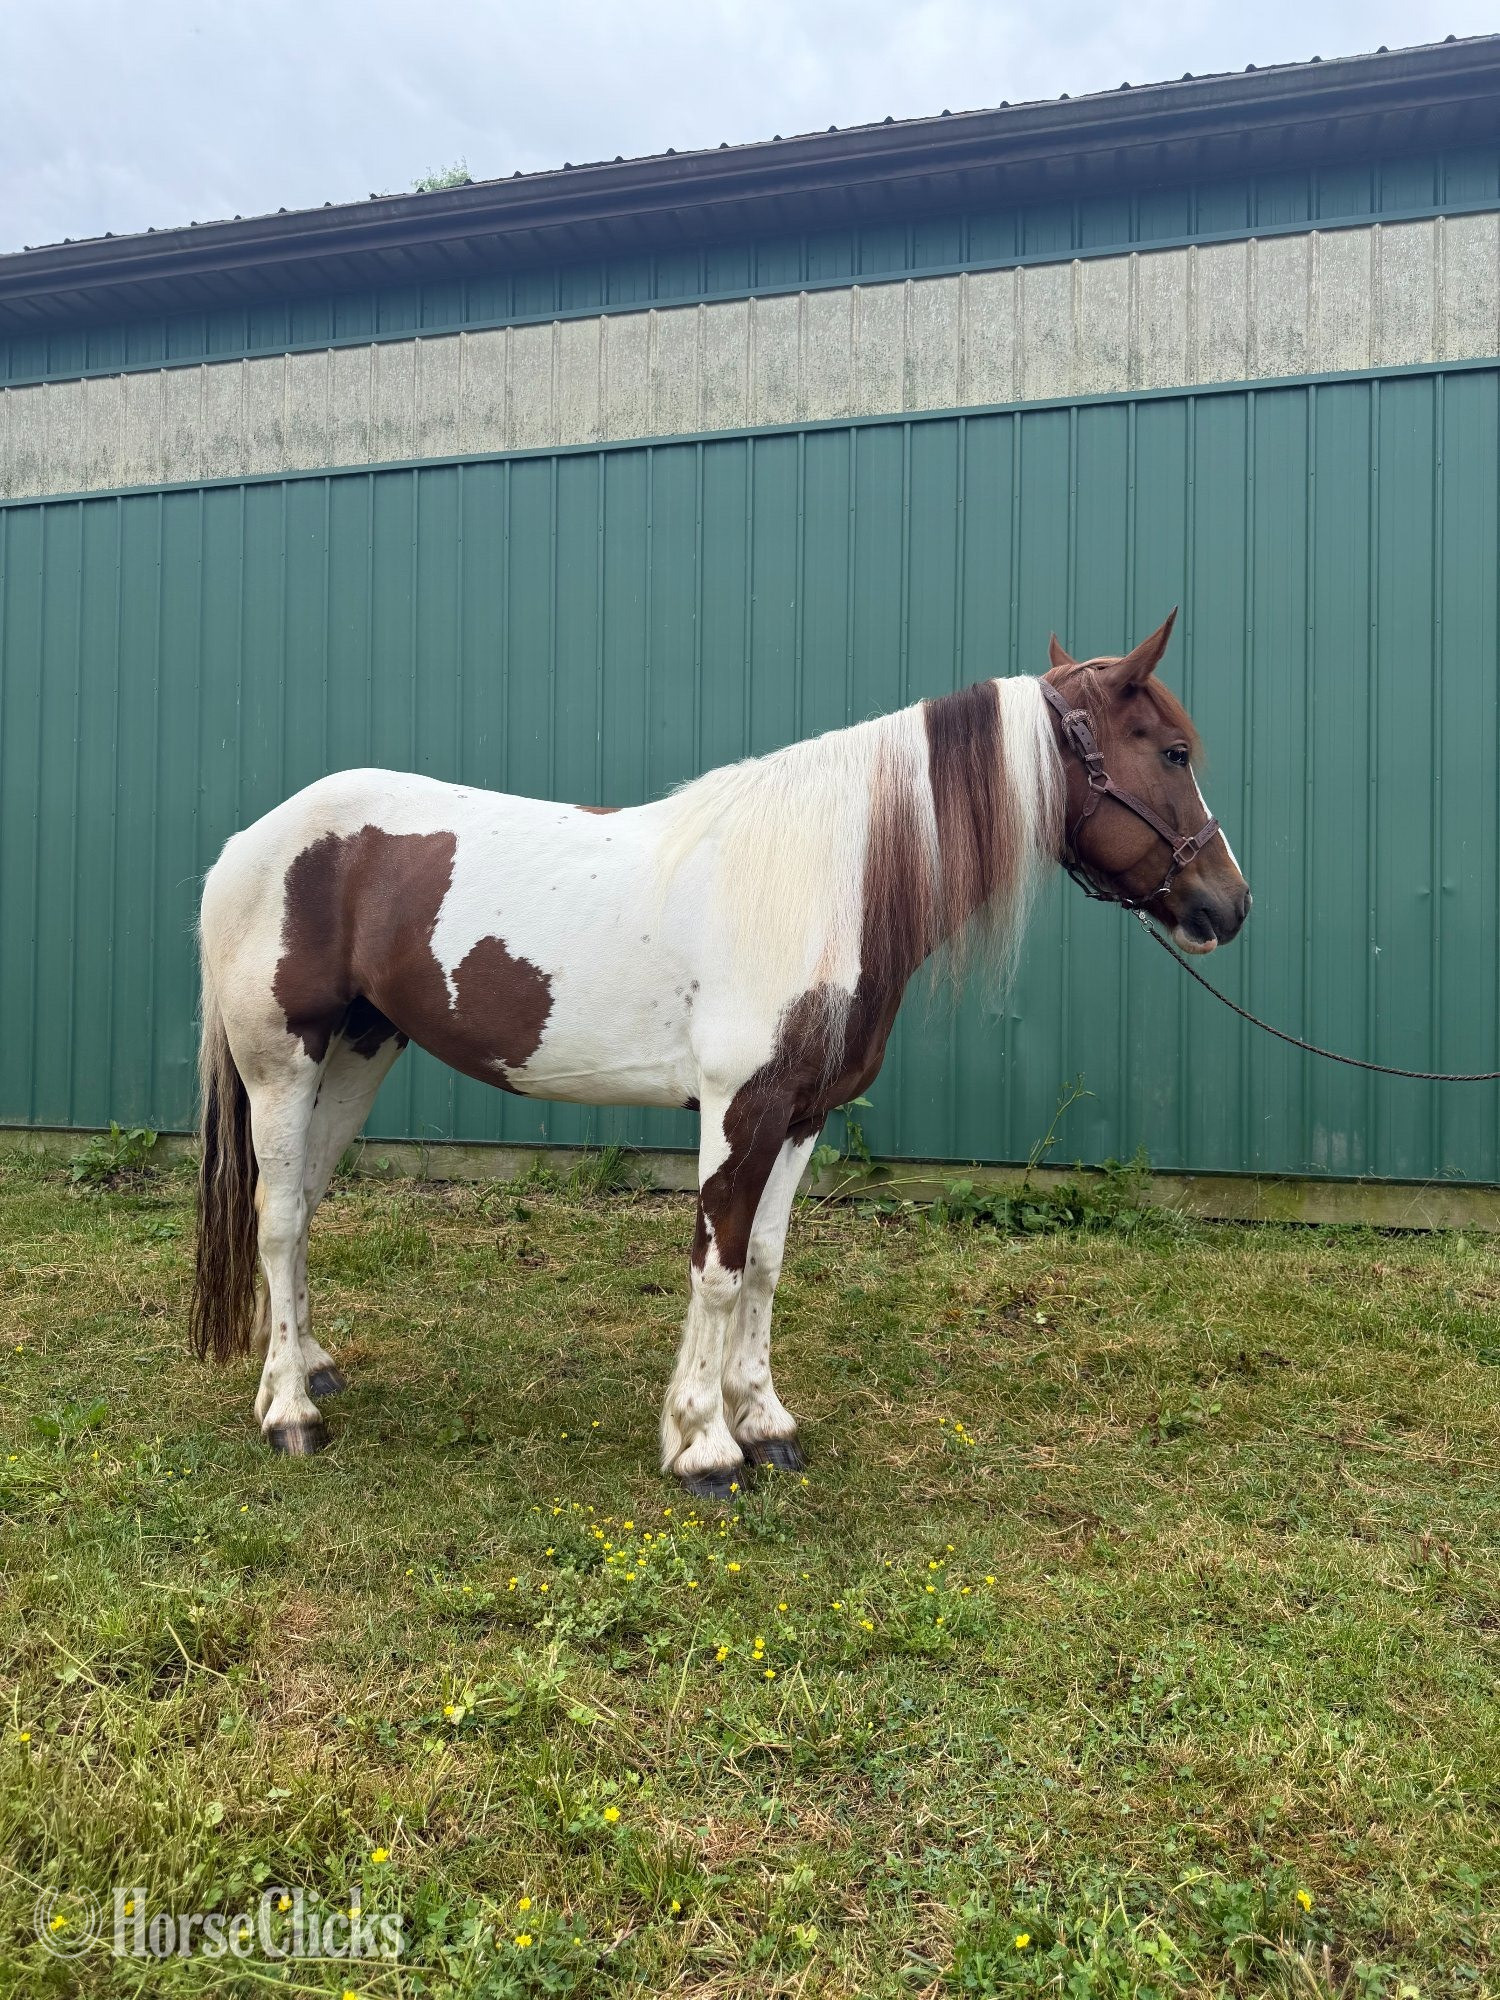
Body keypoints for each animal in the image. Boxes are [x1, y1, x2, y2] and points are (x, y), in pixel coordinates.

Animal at [191, 609, 1249, 1497]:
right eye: (1173, 751)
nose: (1229, 905)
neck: (824, 882)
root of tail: (247, 842)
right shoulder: (740, 1110)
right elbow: (718, 1266)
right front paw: (703, 1443)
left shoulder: (803, 1116)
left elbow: (769, 1264)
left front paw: (766, 1421)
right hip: (284, 1064)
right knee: (277, 1218)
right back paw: (290, 1413)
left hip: (361, 1054)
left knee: (306, 1205)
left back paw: (309, 1366)